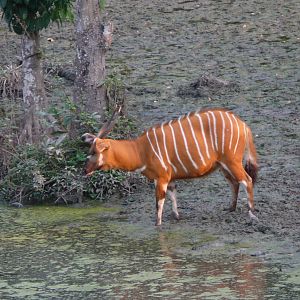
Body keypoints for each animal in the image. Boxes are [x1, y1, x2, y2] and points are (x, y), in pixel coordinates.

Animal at [81, 107, 258, 225]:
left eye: (94, 152)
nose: (85, 170)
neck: (140, 150)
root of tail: (243, 125)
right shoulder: (169, 178)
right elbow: (173, 196)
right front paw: (177, 217)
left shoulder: (162, 177)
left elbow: (159, 203)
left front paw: (158, 225)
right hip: (222, 165)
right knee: (234, 182)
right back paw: (231, 208)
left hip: (232, 161)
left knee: (247, 180)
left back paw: (251, 213)